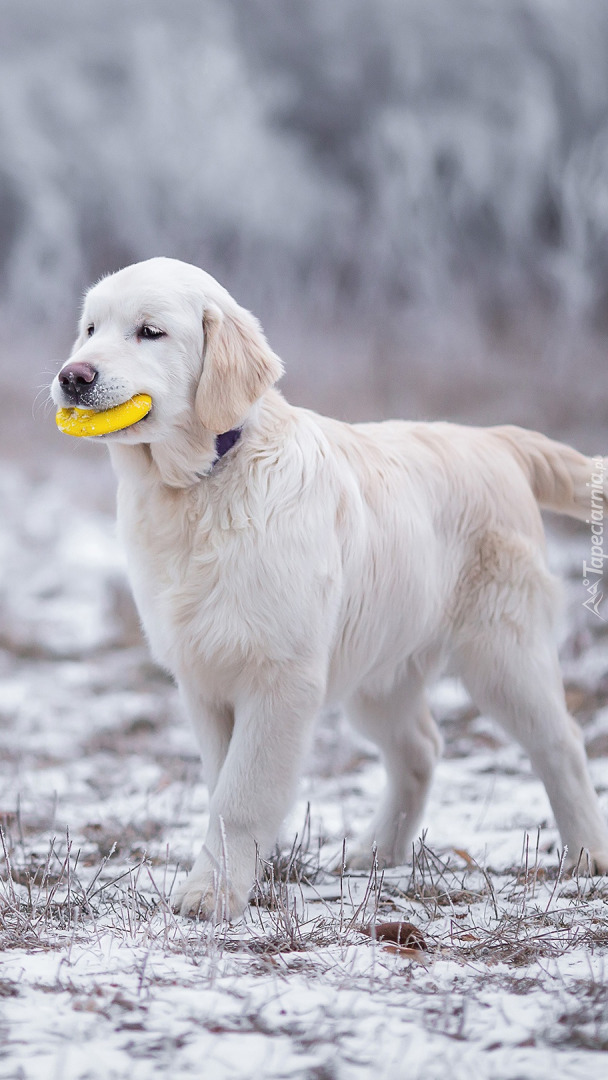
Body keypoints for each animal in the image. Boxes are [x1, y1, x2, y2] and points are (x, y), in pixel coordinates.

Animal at [51, 257, 608, 915]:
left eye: (149, 332)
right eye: (91, 329)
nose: (72, 377)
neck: (202, 485)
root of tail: (496, 439)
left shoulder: (280, 676)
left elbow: (240, 794)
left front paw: (211, 894)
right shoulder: (203, 680)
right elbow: (221, 783)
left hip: (502, 652)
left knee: (561, 742)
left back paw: (586, 855)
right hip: (379, 667)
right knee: (421, 749)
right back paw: (375, 854)